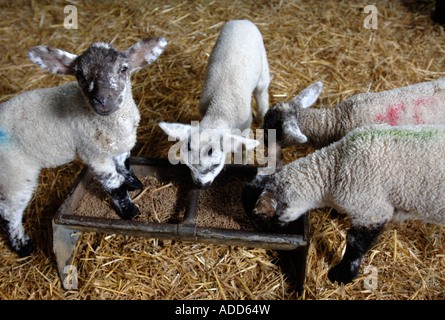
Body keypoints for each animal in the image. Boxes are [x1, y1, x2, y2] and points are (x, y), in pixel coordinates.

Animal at [0, 37, 166, 258]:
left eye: (123, 69)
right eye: (79, 74)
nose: (102, 100)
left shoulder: (120, 146)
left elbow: (126, 167)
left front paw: (136, 185)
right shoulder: (95, 155)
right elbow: (115, 185)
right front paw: (130, 211)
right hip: (14, 173)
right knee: (9, 212)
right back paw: (22, 245)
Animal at [158, 20, 268, 189]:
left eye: (216, 165)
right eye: (188, 165)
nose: (200, 184)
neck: (220, 109)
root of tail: (241, 21)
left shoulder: (245, 124)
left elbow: (242, 147)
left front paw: (242, 162)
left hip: (262, 65)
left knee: (261, 93)